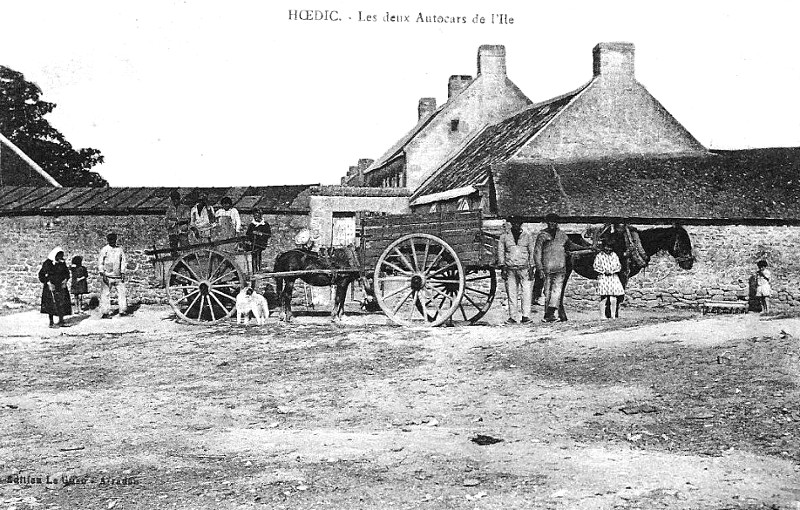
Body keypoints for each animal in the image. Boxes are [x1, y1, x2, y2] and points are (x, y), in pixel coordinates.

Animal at [552, 223, 692, 318]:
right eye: (682, 242)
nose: (689, 263)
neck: (632, 245)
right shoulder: (622, 275)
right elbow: (618, 297)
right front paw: (611, 315)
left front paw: (611, 314)